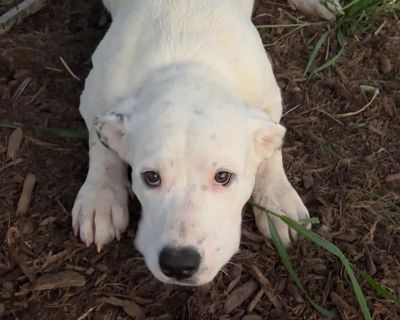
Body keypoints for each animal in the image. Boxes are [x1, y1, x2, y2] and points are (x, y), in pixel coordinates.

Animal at [71, 0, 334, 284]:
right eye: (151, 177)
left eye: (223, 177)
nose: (178, 264)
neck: (187, 58)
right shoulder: (94, 95)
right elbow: (102, 147)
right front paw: (100, 199)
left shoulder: (269, 98)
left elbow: (271, 152)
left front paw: (277, 198)